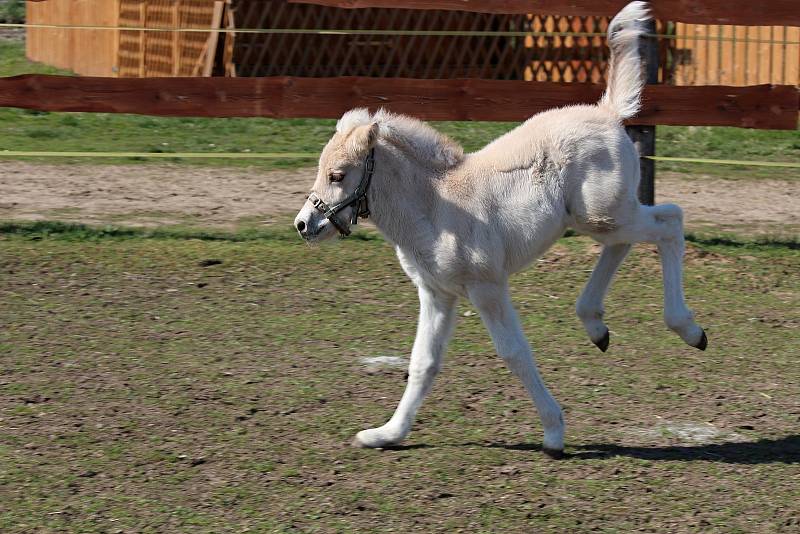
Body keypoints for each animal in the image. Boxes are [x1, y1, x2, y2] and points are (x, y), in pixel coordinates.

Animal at [294, 2, 708, 458]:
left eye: (337, 174)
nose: (304, 224)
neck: (435, 206)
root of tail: (608, 112)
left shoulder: (486, 286)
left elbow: (513, 352)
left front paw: (554, 434)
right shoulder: (436, 292)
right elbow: (422, 362)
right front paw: (387, 434)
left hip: (606, 214)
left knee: (669, 221)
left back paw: (688, 329)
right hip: (600, 218)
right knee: (624, 243)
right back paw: (596, 326)